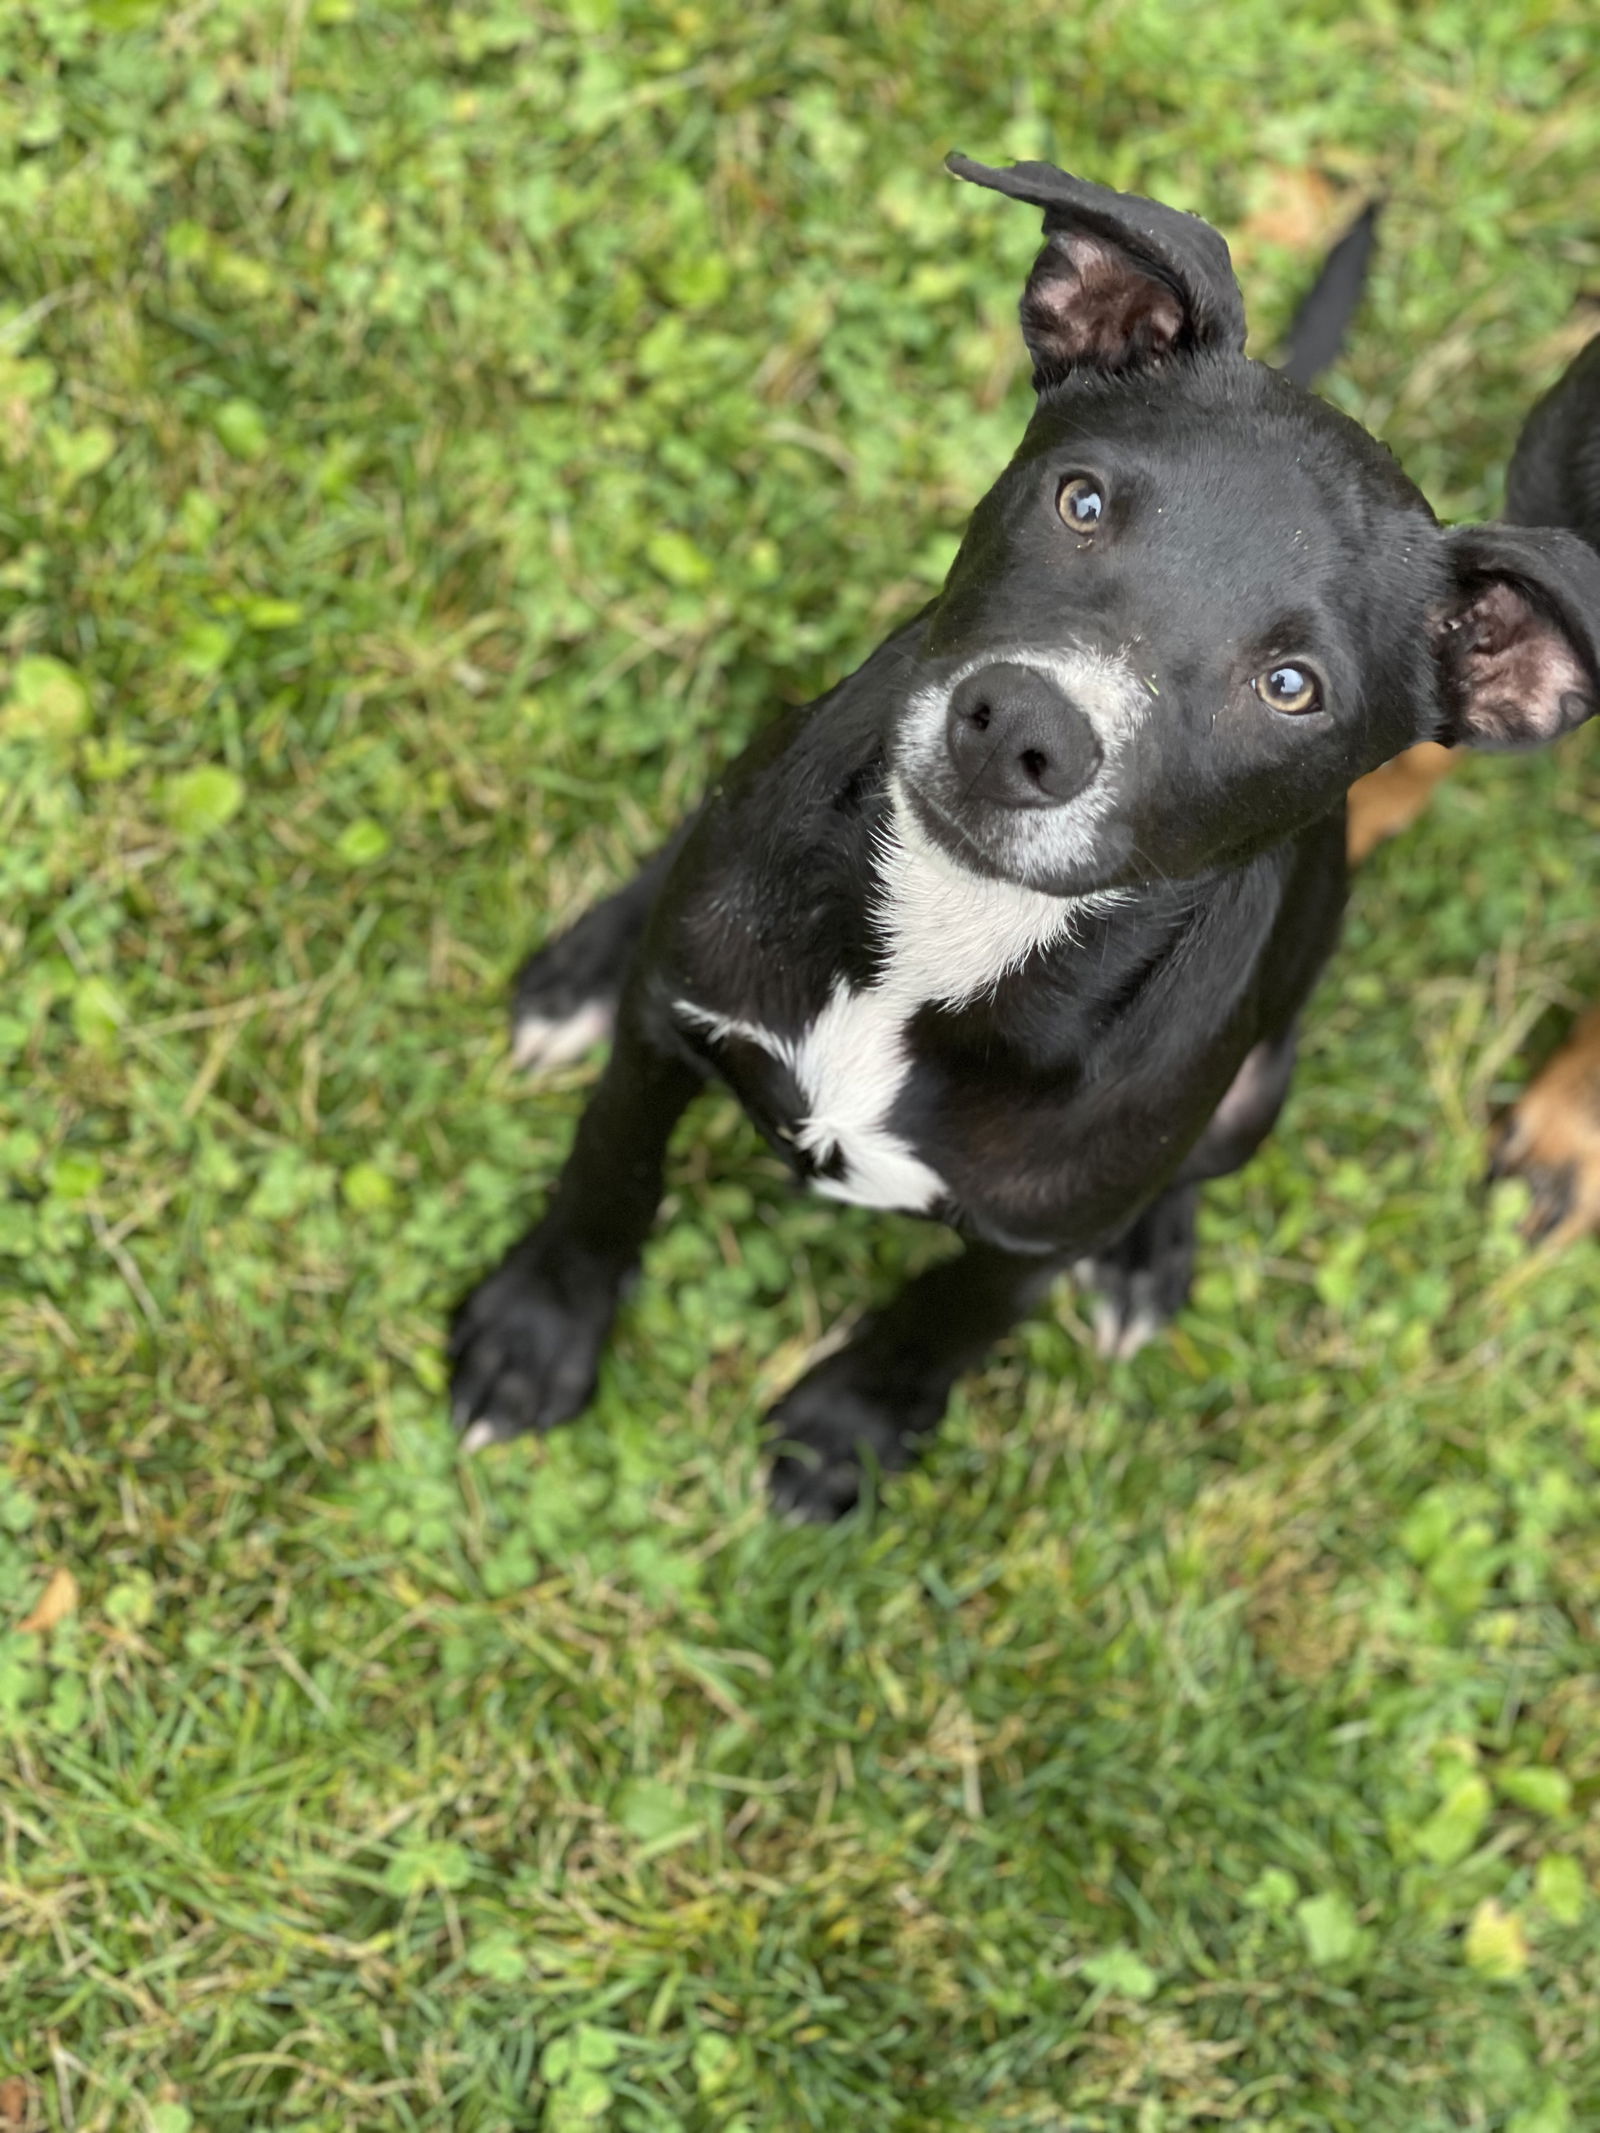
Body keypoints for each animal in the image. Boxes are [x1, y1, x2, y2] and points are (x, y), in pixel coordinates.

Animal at [448, 154, 1600, 1518]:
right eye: (1080, 500)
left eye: (1292, 687)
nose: (1019, 729)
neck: (950, 934)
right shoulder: (666, 1031)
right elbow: (608, 1171)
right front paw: (540, 1327)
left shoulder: (1031, 1241)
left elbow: (943, 1323)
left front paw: (846, 1430)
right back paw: (586, 962)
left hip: (1252, 1099)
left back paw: (1149, 1257)